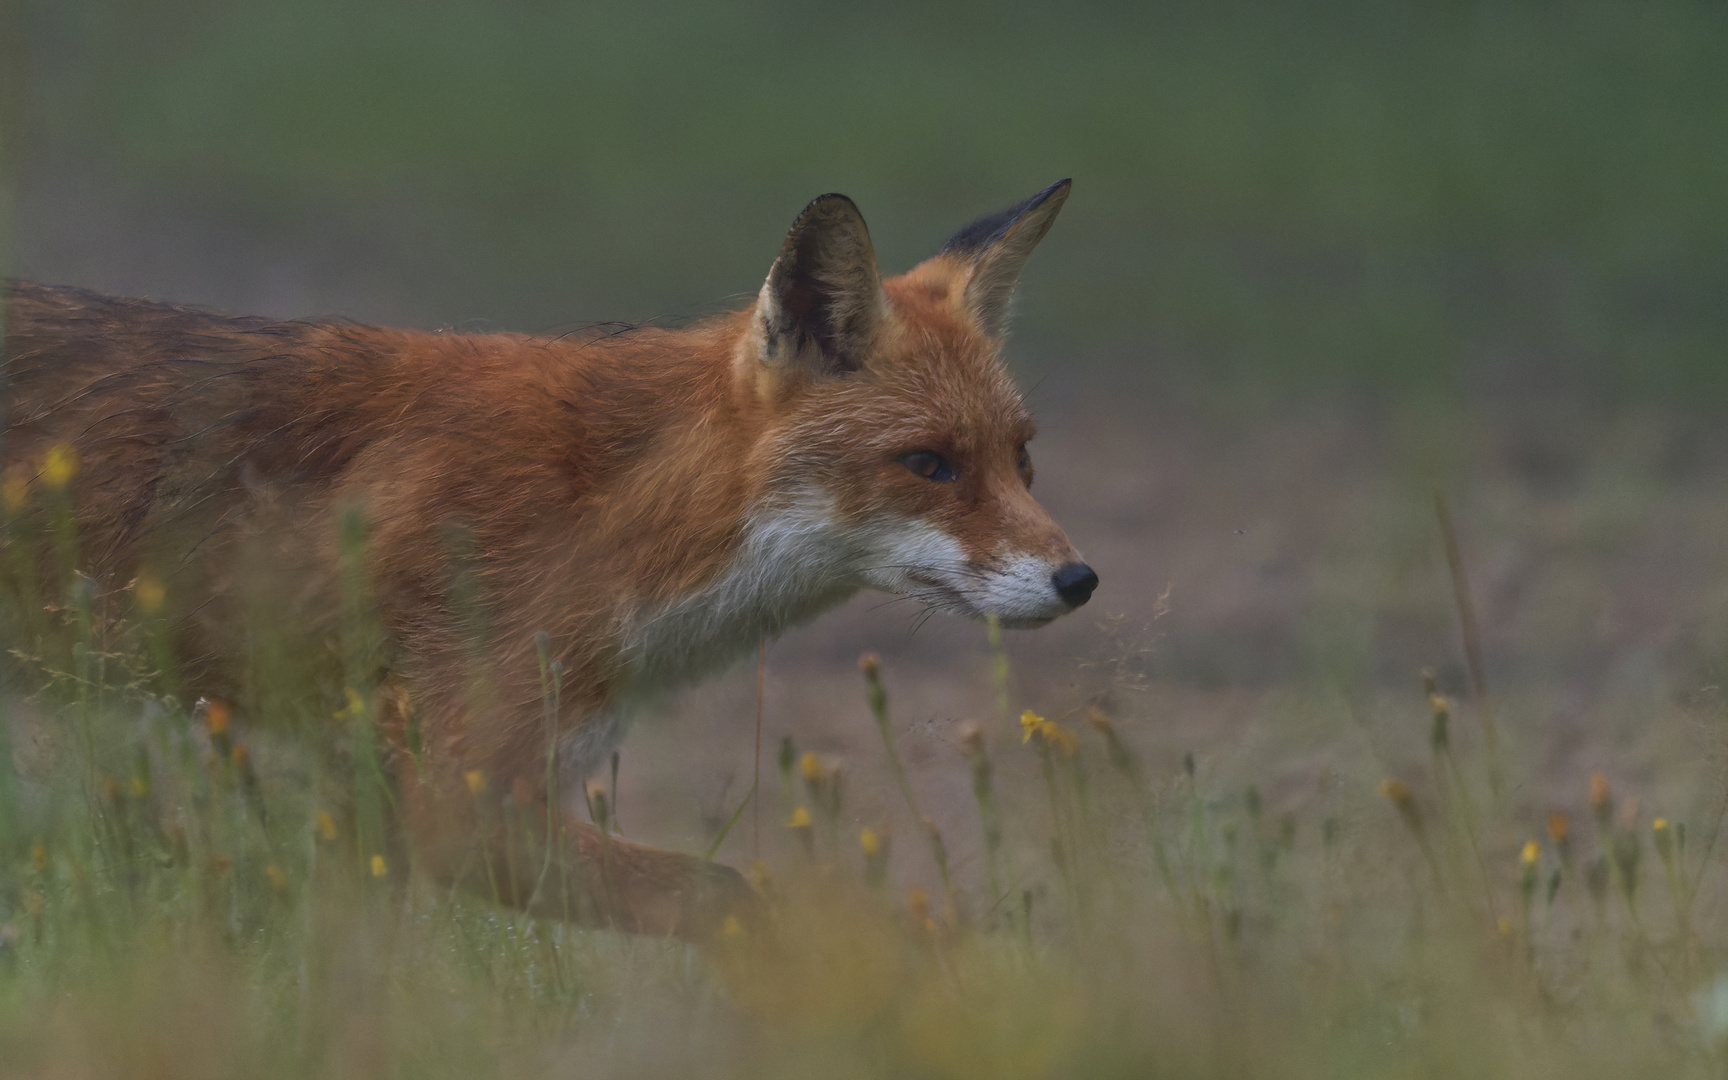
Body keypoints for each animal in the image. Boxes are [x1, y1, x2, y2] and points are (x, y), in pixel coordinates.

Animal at [3, 178, 1092, 933]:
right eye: (929, 464)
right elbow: (726, 893)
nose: (1080, 581)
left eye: (1021, 457)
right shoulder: (458, 804)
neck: (615, 515)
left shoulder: (379, 804)